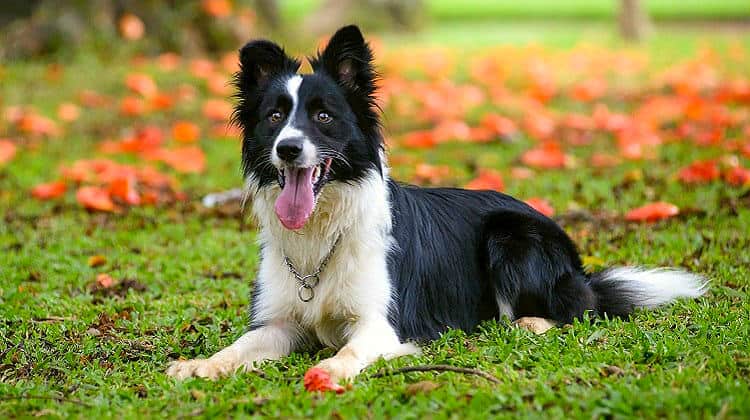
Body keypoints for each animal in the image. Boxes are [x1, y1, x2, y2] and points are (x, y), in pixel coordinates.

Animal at [167, 24, 708, 382]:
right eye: (275, 116)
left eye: (322, 116)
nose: (288, 149)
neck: (324, 229)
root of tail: (577, 264)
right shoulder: (279, 322)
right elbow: (239, 345)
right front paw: (199, 365)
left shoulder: (382, 324)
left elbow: (347, 353)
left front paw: (329, 371)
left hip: (510, 236)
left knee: (575, 310)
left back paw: (528, 322)